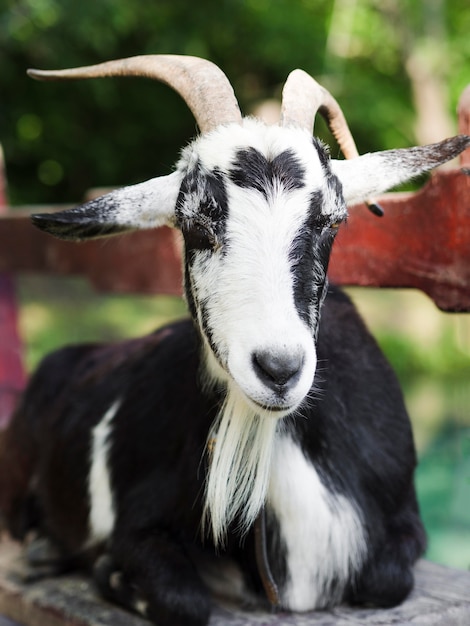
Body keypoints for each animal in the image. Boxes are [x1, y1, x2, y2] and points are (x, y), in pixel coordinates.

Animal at [2, 54, 470, 624]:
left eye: (331, 222)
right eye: (195, 225)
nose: (279, 368)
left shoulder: (404, 516)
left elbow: (386, 580)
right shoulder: (138, 521)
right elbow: (181, 601)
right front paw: (111, 574)